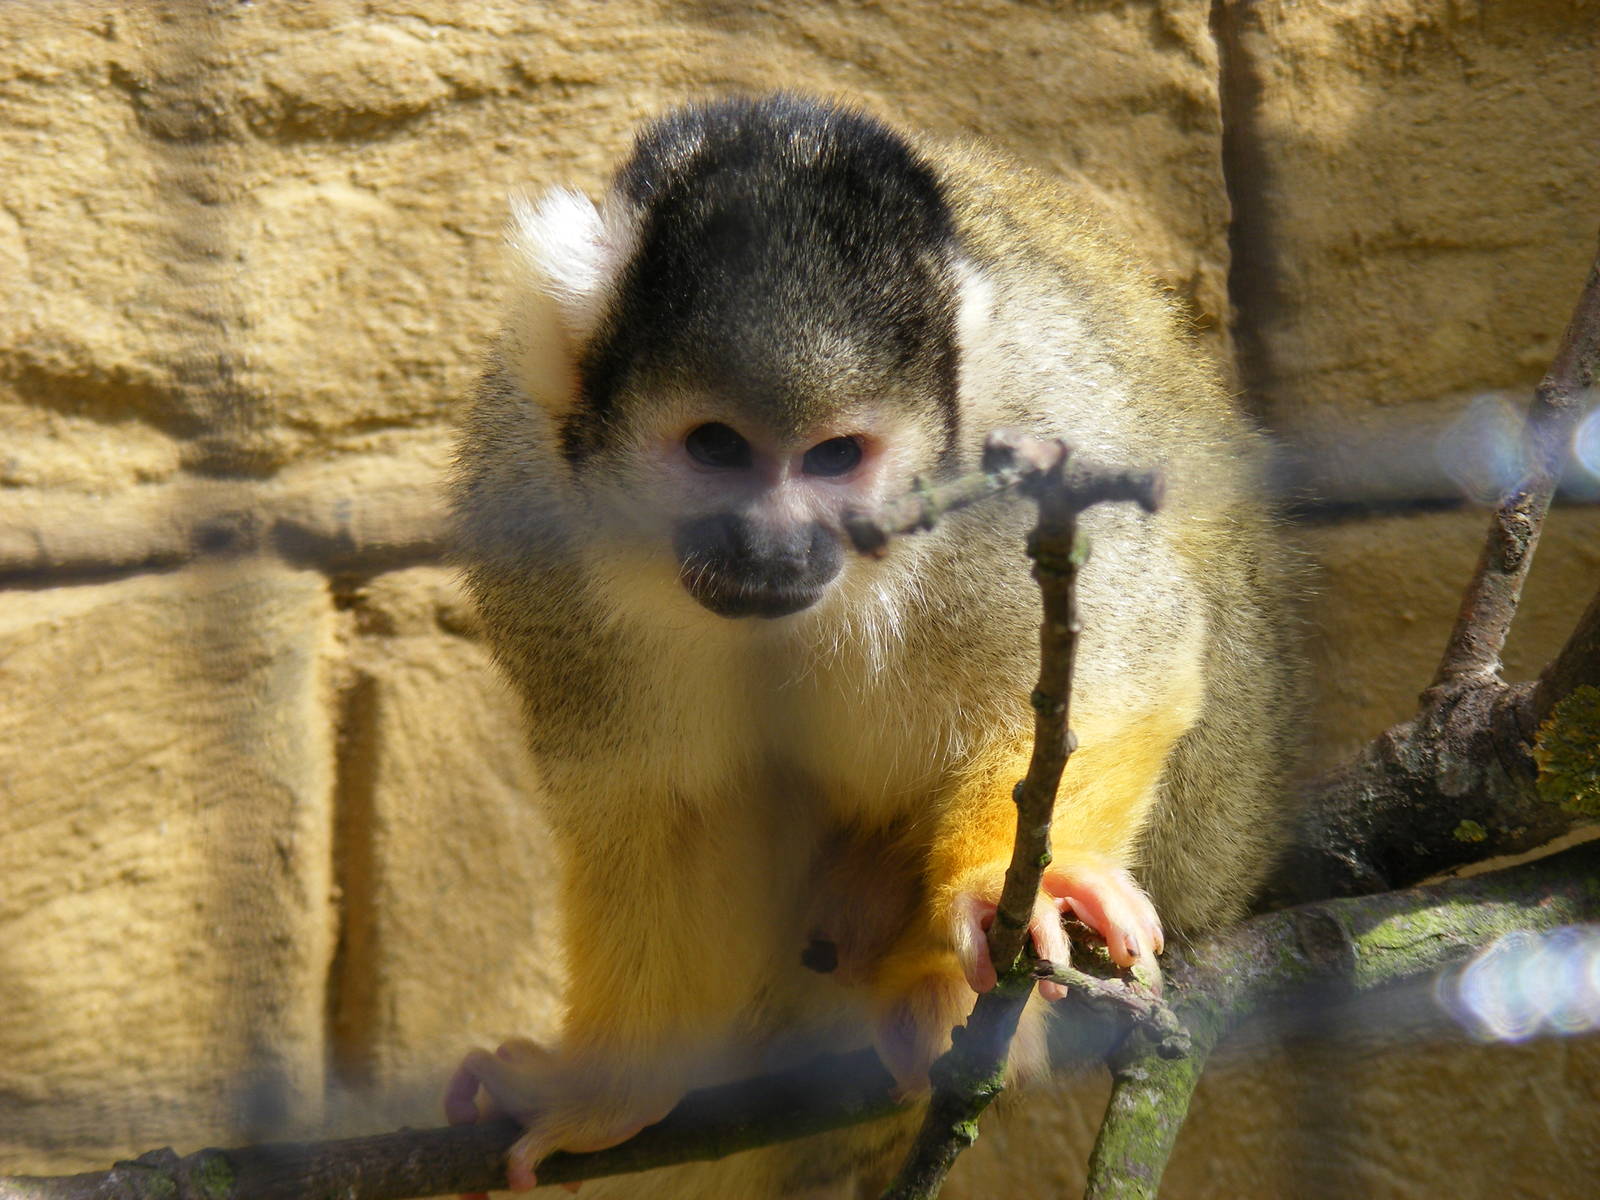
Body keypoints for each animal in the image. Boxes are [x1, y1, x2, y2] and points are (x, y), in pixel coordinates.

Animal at [445, 94, 1298, 1197]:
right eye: (716, 448)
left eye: (835, 457)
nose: (773, 544)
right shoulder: (531, 502)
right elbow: (663, 806)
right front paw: (607, 1096)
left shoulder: (1017, 465)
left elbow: (1128, 654)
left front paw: (1023, 878)